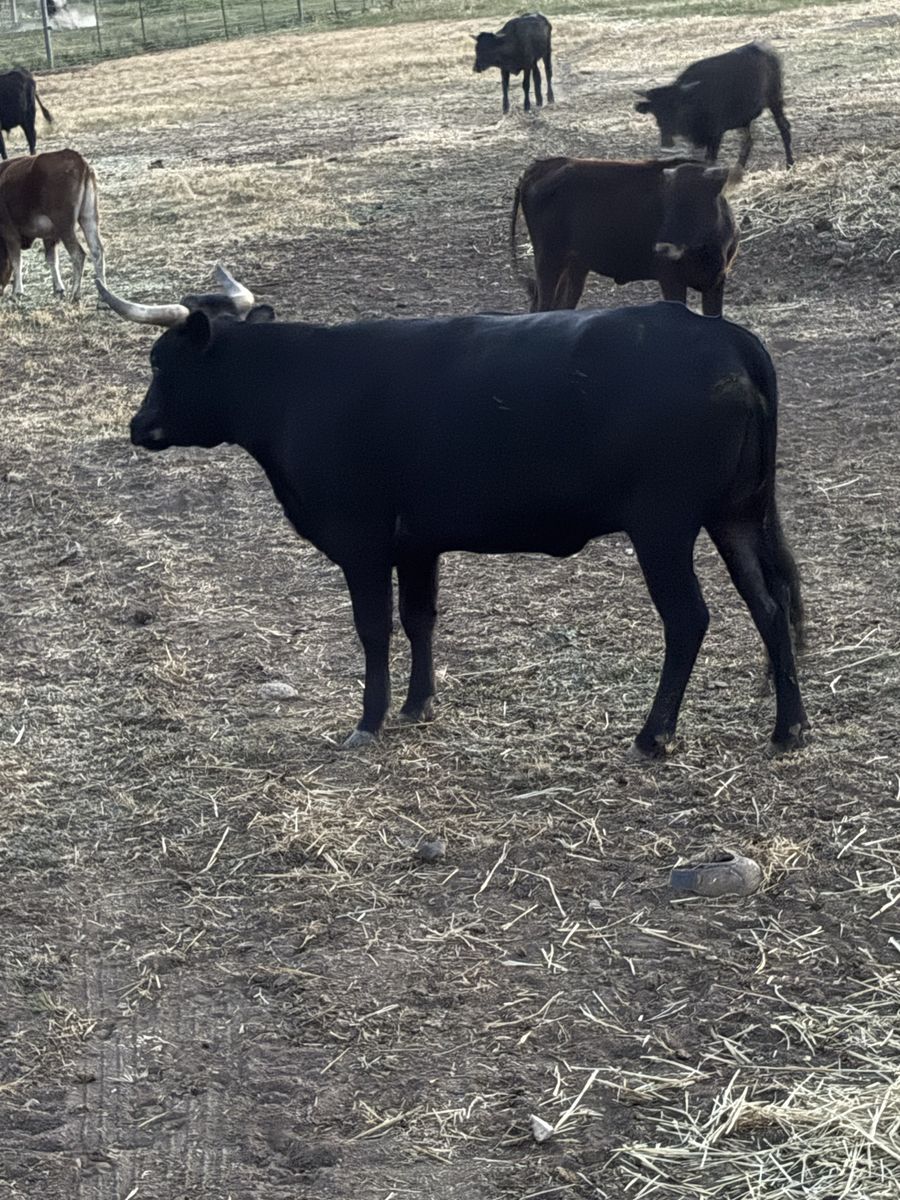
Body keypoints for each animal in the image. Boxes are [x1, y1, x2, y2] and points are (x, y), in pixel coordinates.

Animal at [0, 149, 105, 300]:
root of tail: (79, 161)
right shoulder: (49, 235)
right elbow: (51, 260)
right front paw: (58, 289)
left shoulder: (10, 233)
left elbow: (16, 261)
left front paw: (17, 291)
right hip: (88, 217)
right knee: (97, 251)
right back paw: (102, 296)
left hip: (65, 226)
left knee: (78, 254)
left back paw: (75, 293)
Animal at [101, 287, 808, 759]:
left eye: (161, 362)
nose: (138, 426)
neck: (299, 386)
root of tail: (723, 334)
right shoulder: (416, 544)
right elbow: (420, 618)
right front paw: (419, 704)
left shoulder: (362, 542)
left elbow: (374, 629)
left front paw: (370, 721)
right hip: (736, 515)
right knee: (770, 605)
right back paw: (790, 728)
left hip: (664, 527)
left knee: (689, 618)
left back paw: (653, 735)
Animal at [511, 157, 740, 315]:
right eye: (666, 203)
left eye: (692, 205)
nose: (662, 248)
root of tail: (541, 166)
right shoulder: (670, 279)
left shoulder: (716, 282)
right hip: (548, 261)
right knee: (542, 307)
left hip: (574, 266)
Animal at [635, 43, 793, 169]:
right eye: (656, 111)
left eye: (677, 108)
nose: (667, 141)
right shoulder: (697, 139)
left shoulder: (716, 133)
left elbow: (710, 161)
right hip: (744, 119)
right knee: (747, 142)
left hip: (775, 100)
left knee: (784, 127)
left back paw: (789, 164)